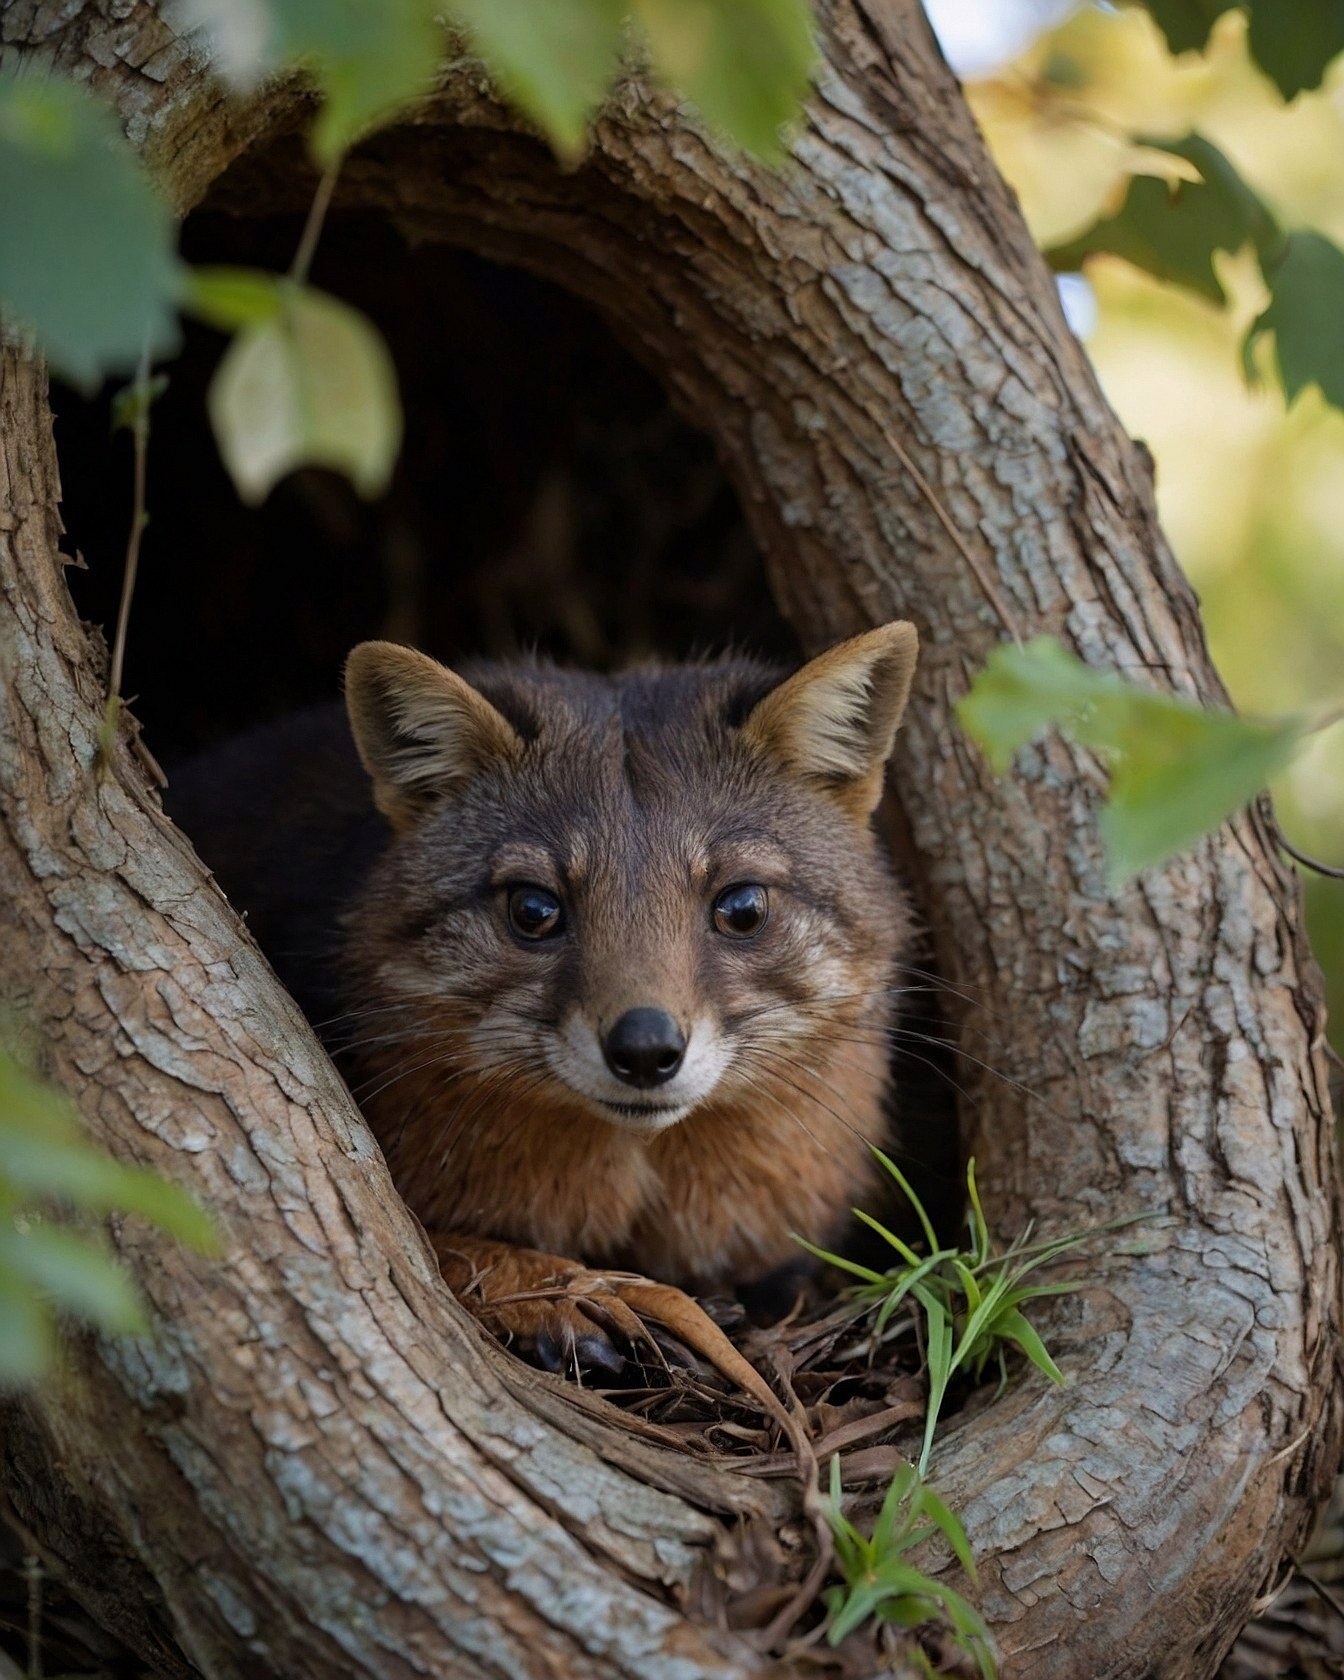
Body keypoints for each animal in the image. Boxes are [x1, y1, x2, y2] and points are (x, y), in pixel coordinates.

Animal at [166, 623, 920, 1371]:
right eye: (534, 909)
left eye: (741, 907)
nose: (645, 1049)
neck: (635, 1194)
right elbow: (448, 1251)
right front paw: (556, 1294)